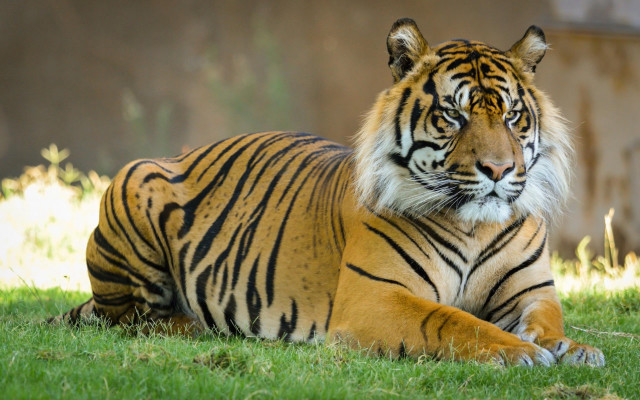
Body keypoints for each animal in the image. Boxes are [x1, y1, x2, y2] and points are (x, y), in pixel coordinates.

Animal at [52, 18, 604, 366]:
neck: (473, 224)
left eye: (512, 115)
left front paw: (574, 349)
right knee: (136, 318)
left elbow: (548, 320)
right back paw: (201, 326)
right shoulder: (376, 297)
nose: (498, 168)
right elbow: (452, 321)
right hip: (133, 181)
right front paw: (521, 352)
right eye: (452, 114)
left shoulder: (533, 290)